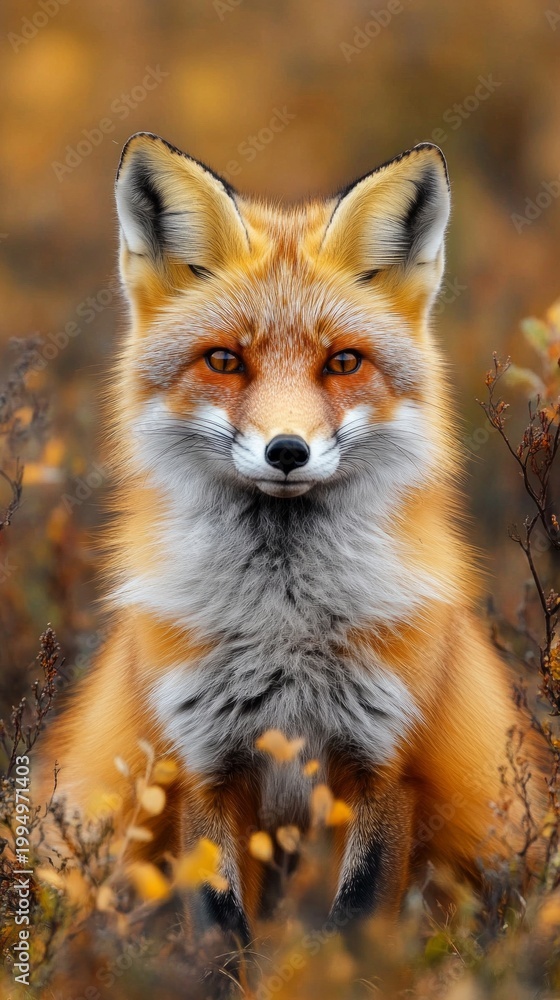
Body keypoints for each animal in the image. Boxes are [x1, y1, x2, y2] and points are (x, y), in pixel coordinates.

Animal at [38, 132, 546, 945]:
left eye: (342, 362)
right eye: (224, 360)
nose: (286, 451)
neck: (283, 623)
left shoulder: (385, 766)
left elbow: (354, 918)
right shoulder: (205, 764)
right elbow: (219, 929)